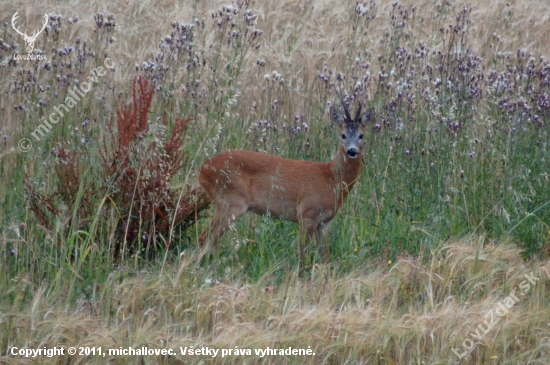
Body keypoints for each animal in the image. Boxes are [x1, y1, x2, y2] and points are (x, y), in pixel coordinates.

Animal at [198, 101, 376, 264]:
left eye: (361, 136)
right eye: (343, 135)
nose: (352, 151)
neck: (331, 179)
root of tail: (202, 170)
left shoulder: (325, 222)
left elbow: (324, 257)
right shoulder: (306, 213)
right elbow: (303, 254)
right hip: (231, 201)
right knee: (205, 237)